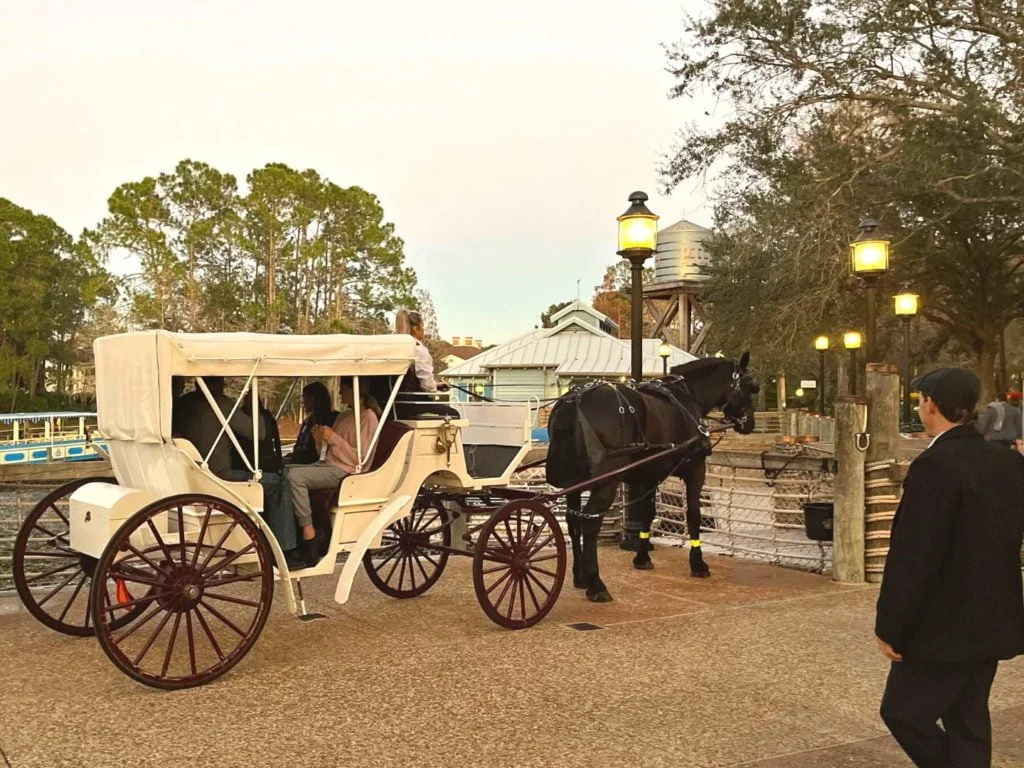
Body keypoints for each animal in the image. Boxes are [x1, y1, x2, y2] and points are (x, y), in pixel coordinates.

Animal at [545, 354, 759, 602]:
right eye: (750, 386)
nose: (750, 423)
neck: (688, 397)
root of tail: (574, 401)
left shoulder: (649, 475)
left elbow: (647, 514)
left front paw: (642, 556)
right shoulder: (696, 469)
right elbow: (693, 515)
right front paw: (698, 563)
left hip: (574, 483)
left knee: (573, 522)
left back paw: (580, 576)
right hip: (606, 481)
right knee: (590, 522)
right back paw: (596, 584)